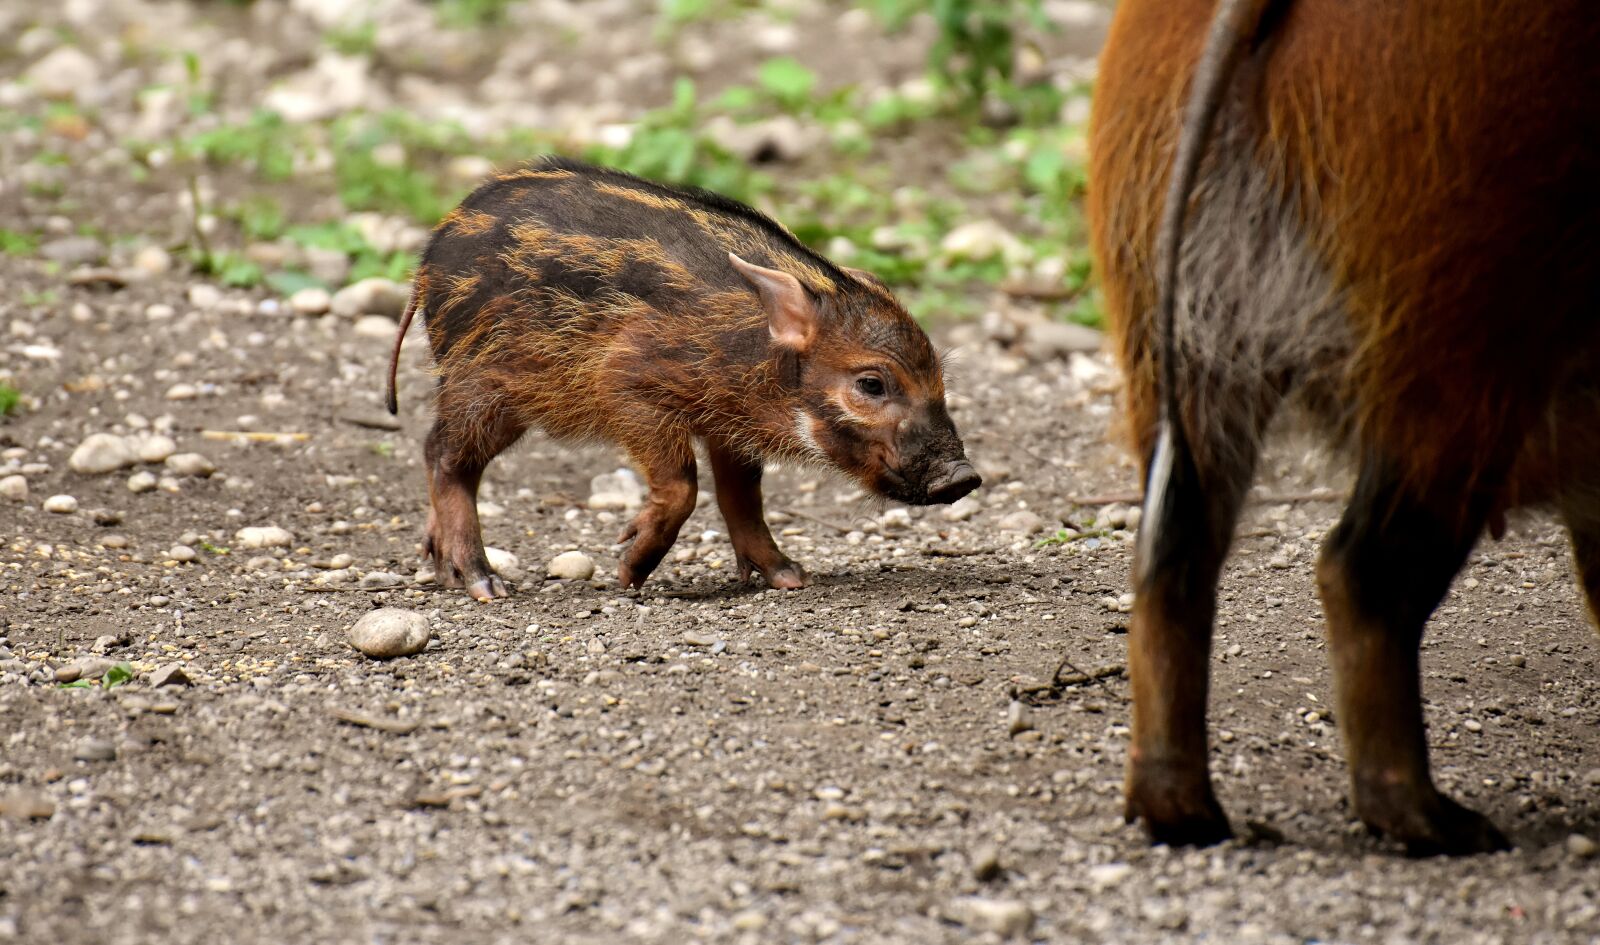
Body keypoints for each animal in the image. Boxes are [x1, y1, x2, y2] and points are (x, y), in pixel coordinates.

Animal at [388, 157, 980, 601]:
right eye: (872, 384)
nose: (964, 476)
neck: (753, 352)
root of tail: (425, 264)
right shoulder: (628, 384)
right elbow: (682, 483)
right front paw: (628, 572)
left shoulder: (731, 422)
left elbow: (742, 495)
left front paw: (791, 576)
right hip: (485, 385)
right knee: (442, 453)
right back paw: (484, 584)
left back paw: (443, 568)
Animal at [1090, 0, 1600, 854]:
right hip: (1458, 348)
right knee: (1361, 572)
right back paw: (1436, 821)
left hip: (1176, 353)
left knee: (1172, 560)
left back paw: (1185, 813)